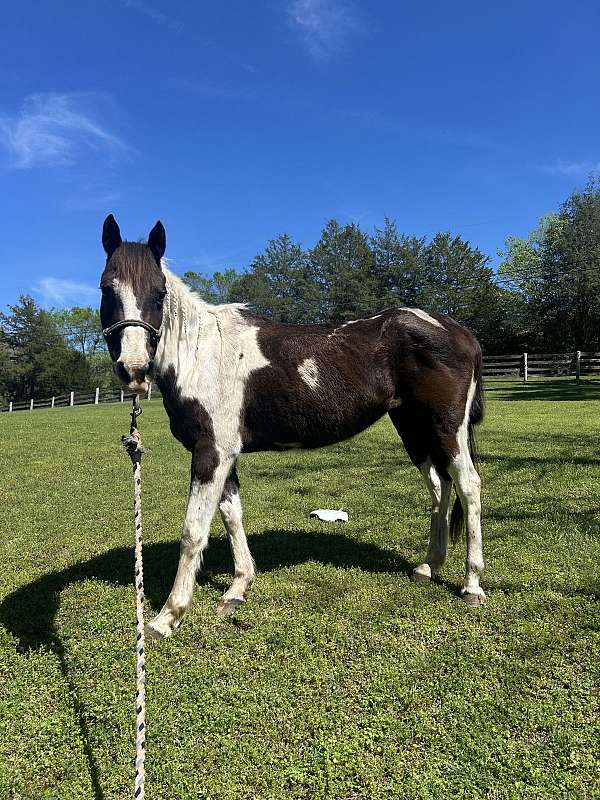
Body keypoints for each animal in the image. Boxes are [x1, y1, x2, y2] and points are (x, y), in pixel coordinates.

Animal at [99, 214, 485, 639]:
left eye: (158, 293)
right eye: (107, 288)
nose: (133, 369)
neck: (200, 354)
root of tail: (460, 332)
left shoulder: (211, 453)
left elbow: (193, 532)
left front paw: (166, 617)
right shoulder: (225, 456)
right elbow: (232, 516)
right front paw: (237, 589)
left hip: (446, 428)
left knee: (468, 486)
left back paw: (472, 586)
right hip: (414, 429)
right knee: (439, 487)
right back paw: (428, 566)